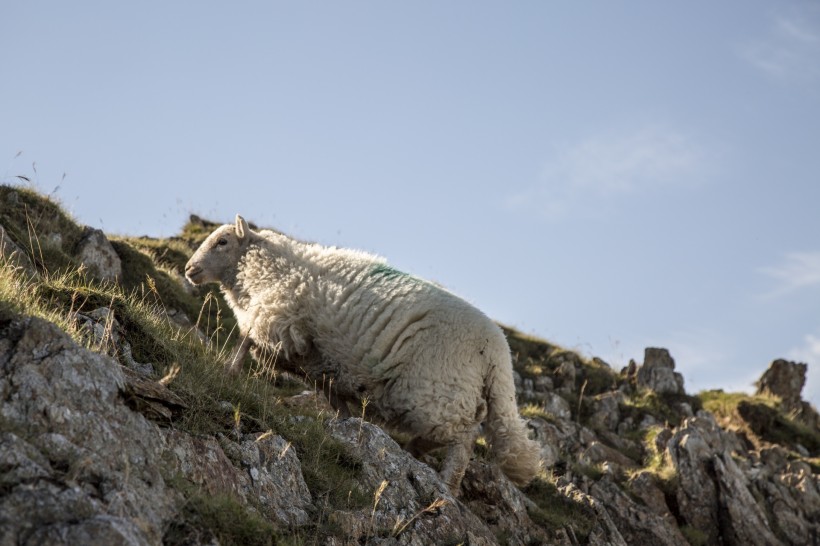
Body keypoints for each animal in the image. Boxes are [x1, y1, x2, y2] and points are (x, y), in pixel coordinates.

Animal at [186, 215, 544, 490]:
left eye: (222, 242)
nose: (189, 269)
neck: (276, 267)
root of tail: (498, 350)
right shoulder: (318, 361)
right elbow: (333, 397)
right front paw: (343, 424)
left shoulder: (281, 321)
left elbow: (246, 339)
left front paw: (229, 369)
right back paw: (418, 452)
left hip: (438, 393)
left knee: (463, 438)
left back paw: (444, 480)